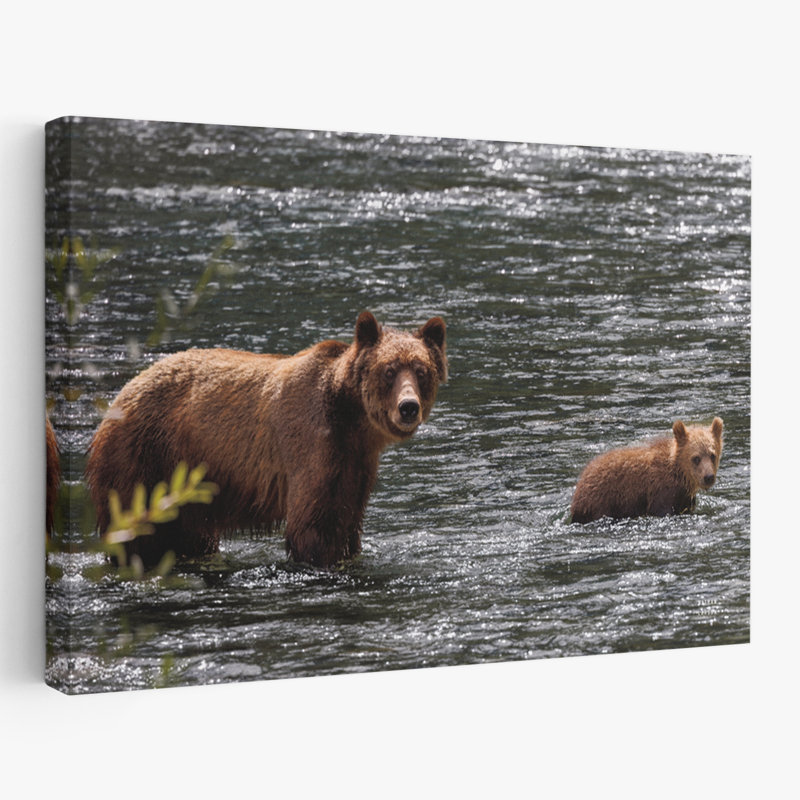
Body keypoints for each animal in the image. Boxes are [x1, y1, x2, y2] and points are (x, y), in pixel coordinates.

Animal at [85, 311, 447, 568]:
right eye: (389, 371)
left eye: (422, 371)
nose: (408, 407)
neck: (352, 419)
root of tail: (121, 394)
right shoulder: (312, 442)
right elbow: (314, 525)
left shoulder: (355, 462)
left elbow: (347, 521)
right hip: (143, 458)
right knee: (135, 531)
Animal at [570, 417, 723, 524]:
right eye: (696, 458)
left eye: (712, 455)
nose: (708, 477)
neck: (680, 474)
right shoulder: (661, 492)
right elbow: (661, 509)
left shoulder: (684, 498)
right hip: (601, 501)